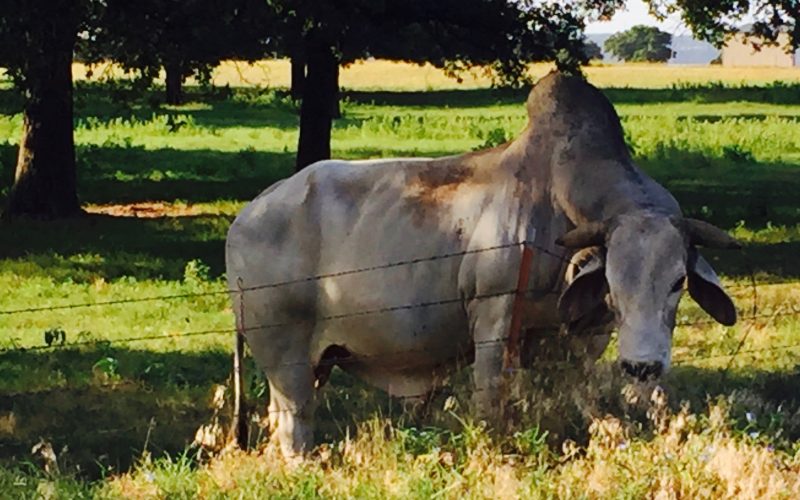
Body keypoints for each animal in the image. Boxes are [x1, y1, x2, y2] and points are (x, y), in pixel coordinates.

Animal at [225, 72, 739, 457]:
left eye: (678, 281)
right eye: (613, 279)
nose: (642, 366)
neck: (556, 201)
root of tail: (247, 216)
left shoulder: (582, 338)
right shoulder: (494, 320)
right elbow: (491, 403)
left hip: (310, 364)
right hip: (286, 359)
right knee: (293, 426)